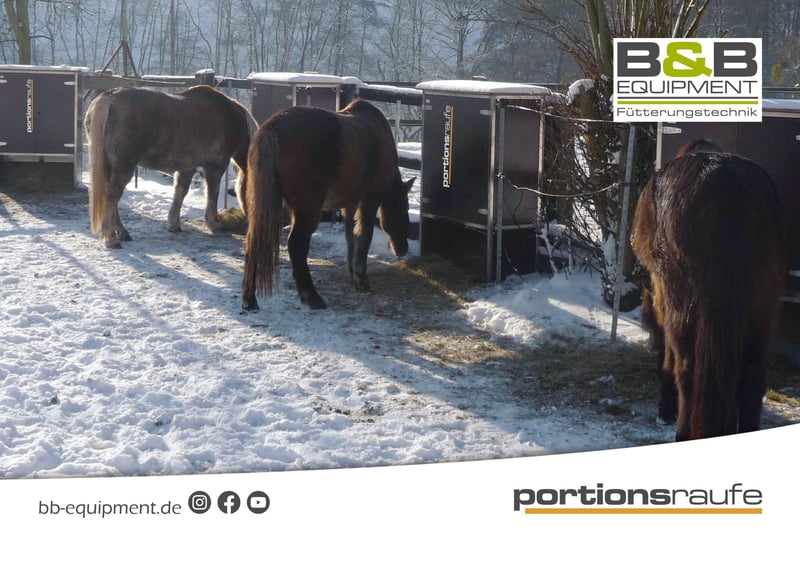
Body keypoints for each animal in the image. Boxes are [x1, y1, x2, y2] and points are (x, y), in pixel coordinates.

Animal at [84, 85, 258, 248]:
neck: (229, 117)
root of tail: (109, 97)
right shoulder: (216, 166)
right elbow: (212, 193)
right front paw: (214, 224)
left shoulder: (188, 166)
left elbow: (181, 191)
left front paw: (174, 223)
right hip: (124, 165)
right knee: (113, 193)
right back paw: (111, 238)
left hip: (110, 164)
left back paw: (121, 232)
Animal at [241, 98, 414, 310]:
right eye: (404, 208)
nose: (403, 249)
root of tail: (272, 126)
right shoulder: (369, 200)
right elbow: (364, 235)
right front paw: (361, 279)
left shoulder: (349, 204)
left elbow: (351, 236)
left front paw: (353, 273)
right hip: (307, 210)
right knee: (296, 245)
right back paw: (311, 296)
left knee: (255, 240)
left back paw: (249, 299)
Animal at [632, 140, 786, 440]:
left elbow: (670, 356)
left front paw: (665, 408)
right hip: (763, 299)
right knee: (752, 375)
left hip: (683, 300)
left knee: (687, 367)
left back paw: (682, 433)